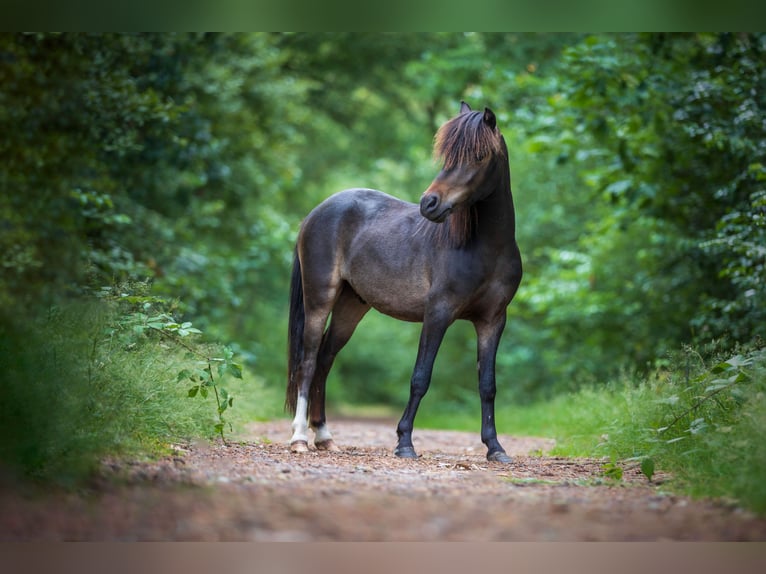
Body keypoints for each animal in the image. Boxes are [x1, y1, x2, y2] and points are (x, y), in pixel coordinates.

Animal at [285, 101, 522, 462]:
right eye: (447, 155)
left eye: (479, 156)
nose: (430, 203)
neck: (486, 249)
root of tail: (316, 213)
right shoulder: (438, 313)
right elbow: (420, 377)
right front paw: (404, 442)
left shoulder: (493, 320)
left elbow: (487, 385)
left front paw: (495, 448)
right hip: (319, 300)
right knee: (308, 361)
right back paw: (299, 437)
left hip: (351, 307)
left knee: (325, 360)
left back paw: (325, 436)